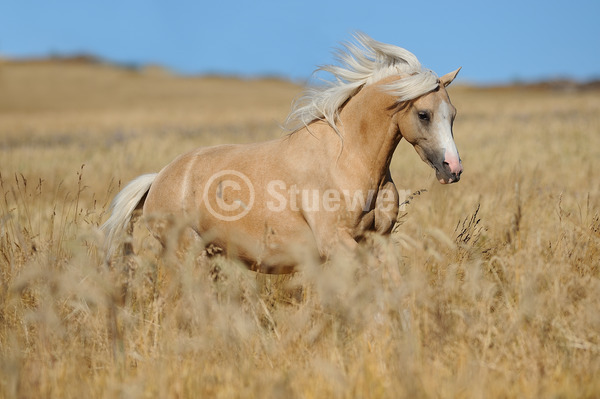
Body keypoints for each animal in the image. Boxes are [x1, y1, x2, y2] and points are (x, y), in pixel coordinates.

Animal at [101, 33, 462, 276]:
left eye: (453, 114)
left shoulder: (380, 240)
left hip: (212, 255)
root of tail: (158, 179)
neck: (347, 162)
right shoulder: (336, 243)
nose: (453, 168)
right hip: (189, 255)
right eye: (424, 114)